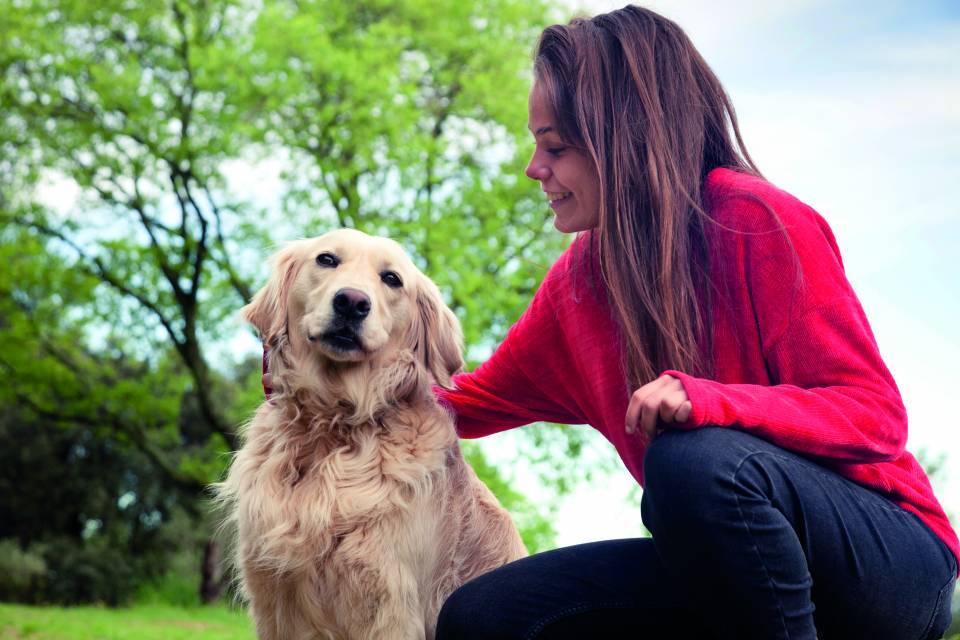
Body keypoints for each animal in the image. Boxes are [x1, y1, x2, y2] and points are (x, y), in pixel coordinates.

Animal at [218, 230, 528, 640]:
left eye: (392, 279)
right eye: (327, 259)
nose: (351, 302)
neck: (331, 426)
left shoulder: (387, 603)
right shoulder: (274, 598)